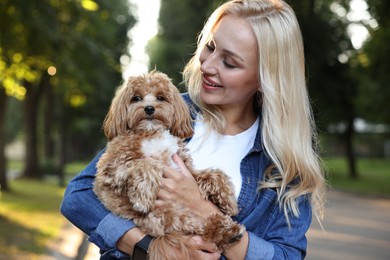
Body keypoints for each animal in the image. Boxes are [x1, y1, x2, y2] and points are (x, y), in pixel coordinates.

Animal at [93, 71, 244, 260]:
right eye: (136, 98)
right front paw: (143, 197)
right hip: (165, 215)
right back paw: (225, 231)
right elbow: (145, 163)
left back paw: (228, 232)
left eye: (161, 97)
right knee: (194, 227)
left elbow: (213, 174)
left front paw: (228, 200)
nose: (149, 108)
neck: (151, 132)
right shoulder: (110, 166)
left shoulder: (184, 166)